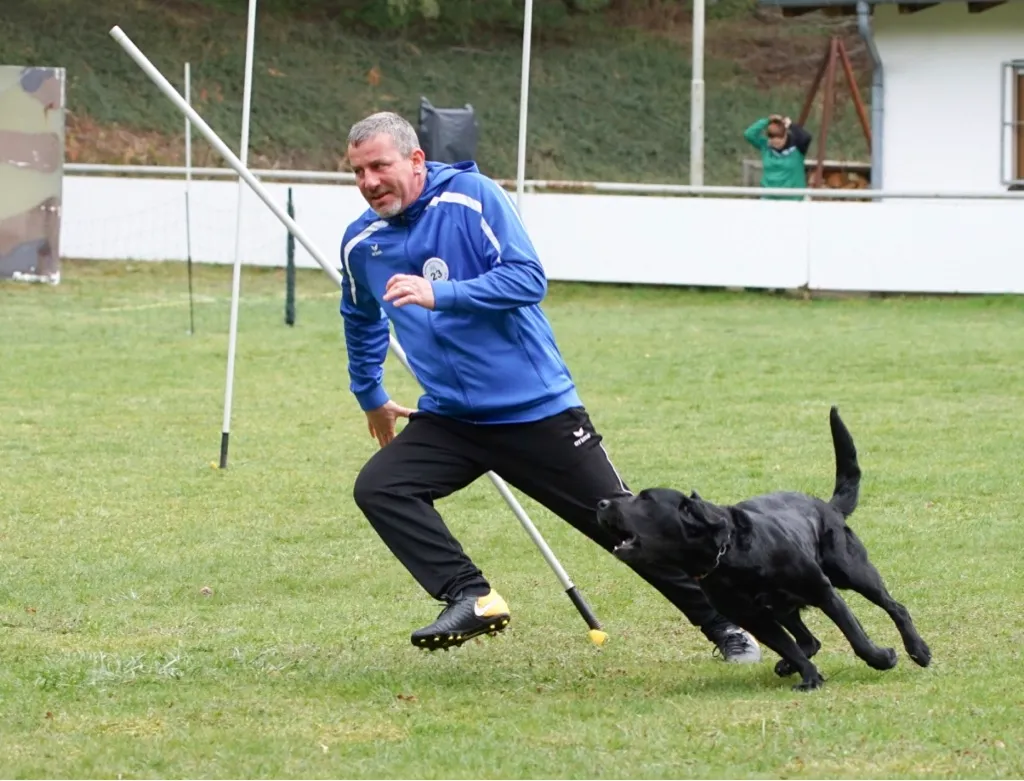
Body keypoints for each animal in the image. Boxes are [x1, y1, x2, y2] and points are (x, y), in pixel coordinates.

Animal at [598, 405, 933, 691]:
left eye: (645, 499)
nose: (602, 502)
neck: (730, 557)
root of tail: (827, 506)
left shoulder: (823, 591)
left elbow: (857, 637)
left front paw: (882, 658)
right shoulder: (754, 617)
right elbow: (789, 646)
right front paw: (809, 679)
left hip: (852, 571)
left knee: (895, 607)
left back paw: (918, 650)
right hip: (785, 608)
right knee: (808, 641)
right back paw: (788, 666)